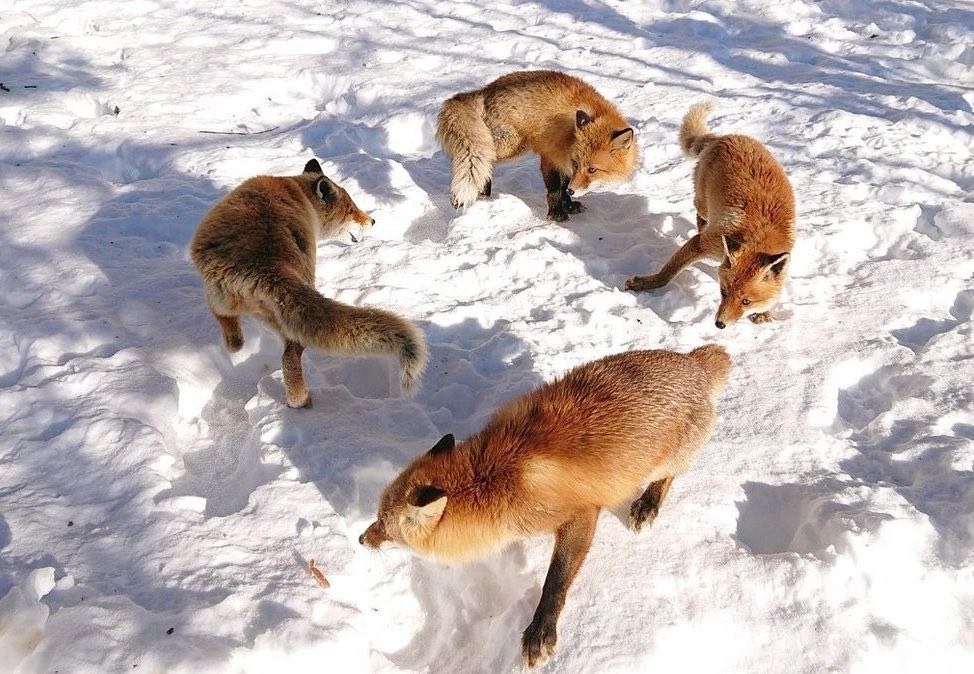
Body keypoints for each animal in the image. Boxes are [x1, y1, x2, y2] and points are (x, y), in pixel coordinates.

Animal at [190, 158, 427, 408]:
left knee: (226, 325)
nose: (373, 221)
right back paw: (299, 401)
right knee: (289, 357)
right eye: (351, 210)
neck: (295, 189)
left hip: (223, 299)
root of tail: (266, 265)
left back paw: (235, 345)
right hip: (292, 322)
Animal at [360, 345, 731, 668]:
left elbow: (556, 579)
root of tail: (693, 362)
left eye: (384, 526)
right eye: (376, 519)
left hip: (663, 463)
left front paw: (540, 632)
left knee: (669, 477)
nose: (362, 539)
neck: (491, 476)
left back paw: (648, 503)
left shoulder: (580, 513)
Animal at [436, 70, 638, 222]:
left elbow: (563, 188)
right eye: (578, 164)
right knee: (479, 157)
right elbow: (555, 190)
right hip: (511, 144)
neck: (569, 137)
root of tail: (486, 89)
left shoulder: (564, 164)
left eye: (592, 169)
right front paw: (556, 213)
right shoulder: (550, 157)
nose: (573, 190)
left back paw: (484, 194)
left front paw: (569, 204)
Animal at [625, 102, 795, 328]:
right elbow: (667, 273)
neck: (759, 234)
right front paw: (647, 283)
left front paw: (764, 313)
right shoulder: (703, 243)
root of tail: (724, 136)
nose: (719, 324)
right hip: (704, 204)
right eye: (723, 292)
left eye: (746, 301)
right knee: (700, 216)